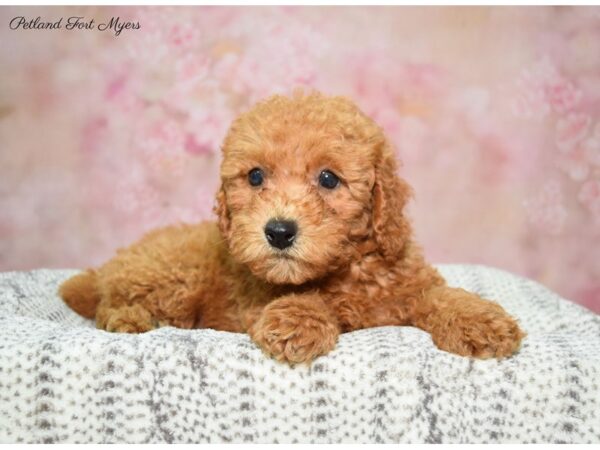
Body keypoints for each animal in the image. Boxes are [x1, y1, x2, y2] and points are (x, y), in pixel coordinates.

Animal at [58, 93, 524, 364]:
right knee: (108, 303)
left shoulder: (407, 283)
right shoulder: (253, 301)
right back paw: (130, 319)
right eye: (256, 176)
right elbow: (305, 299)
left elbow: (441, 295)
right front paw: (298, 322)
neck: (350, 268)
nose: (279, 231)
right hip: (171, 279)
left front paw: (481, 321)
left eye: (329, 178)